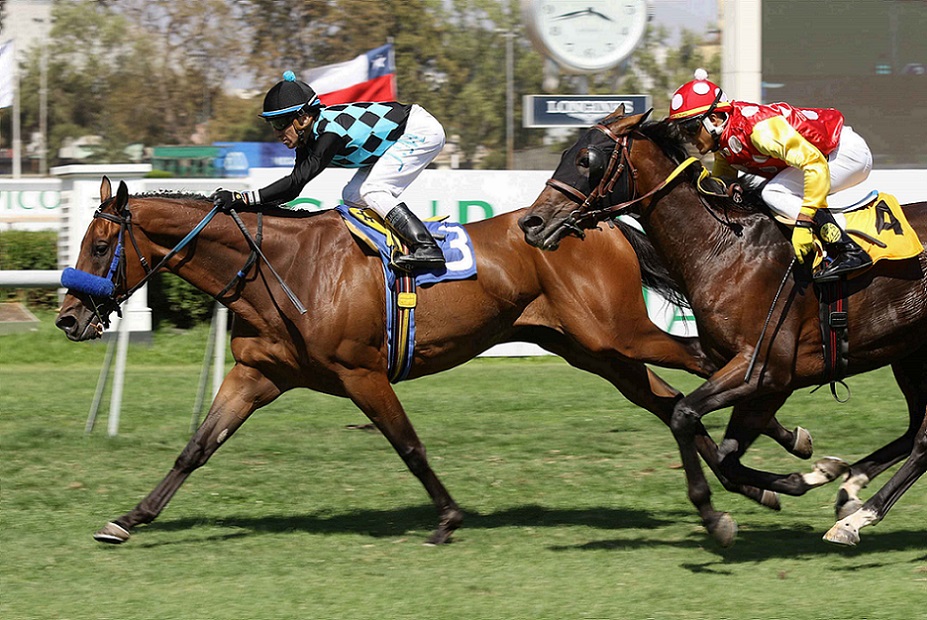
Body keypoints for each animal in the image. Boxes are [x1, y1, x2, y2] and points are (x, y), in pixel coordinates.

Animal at [56, 176, 811, 546]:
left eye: (100, 244)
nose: (67, 317)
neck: (281, 265)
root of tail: (594, 223)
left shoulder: (360, 372)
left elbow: (409, 445)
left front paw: (447, 519)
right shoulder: (258, 374)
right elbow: (196, 449)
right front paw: (127, 519)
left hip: (617, 334)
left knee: (712, 361)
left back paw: (788, 449)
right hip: (590, 350)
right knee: (669, 399)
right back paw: (755, 486)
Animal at [519, 106, 927, 547]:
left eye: (586, 160)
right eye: (566, 153)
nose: (531, 223)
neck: (725, 250)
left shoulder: (763, 368)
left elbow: (683, 416)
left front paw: (714, 515)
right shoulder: (764, 380)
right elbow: (727, 456)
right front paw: (812, 473)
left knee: (922, 440)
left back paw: (855, 520)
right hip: (908, 356)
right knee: (913, 433)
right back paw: (851, 492)